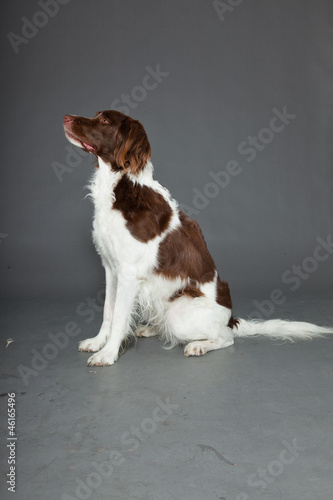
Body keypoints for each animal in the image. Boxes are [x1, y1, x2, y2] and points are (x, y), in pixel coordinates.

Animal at [63, 110, 330, 368]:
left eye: (105, 120)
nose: (66, 118)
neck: (121, 185)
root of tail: (230, 319)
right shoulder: (111, 267)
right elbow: (108, 311)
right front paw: (98, 342)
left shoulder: (129, 271)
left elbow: (119, 316)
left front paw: (108, 354)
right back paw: (151, 329)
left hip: (181, 314)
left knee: (226, 337)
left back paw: (198, 345)